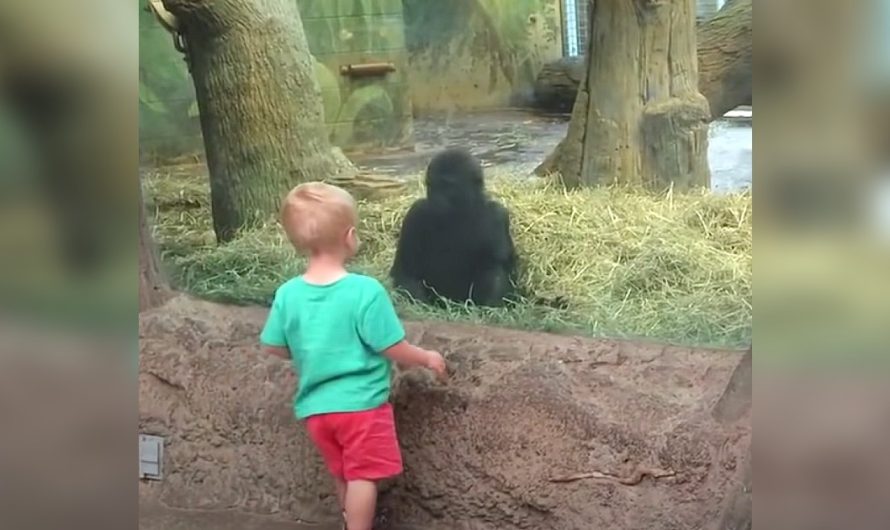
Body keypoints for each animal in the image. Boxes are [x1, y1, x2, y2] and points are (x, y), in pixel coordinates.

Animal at [390, 147, 520, 306]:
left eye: (448, 186)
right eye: (432, 185)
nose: (436, 199)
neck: (462, 210)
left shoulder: (498, 214)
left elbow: (504, 267)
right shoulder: (415, 214)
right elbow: (405, 271)